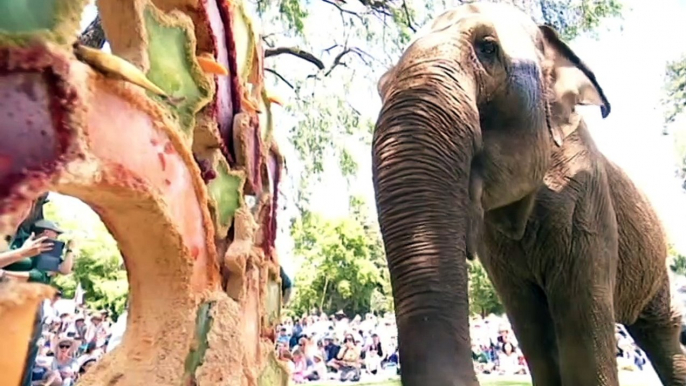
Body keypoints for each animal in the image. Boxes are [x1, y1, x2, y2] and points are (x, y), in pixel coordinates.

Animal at [374, 3, 686, 386]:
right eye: (382, 86)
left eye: (488, 48)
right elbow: (532, 329)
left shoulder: (587, 205)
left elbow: (581, 329)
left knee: (662, 331)